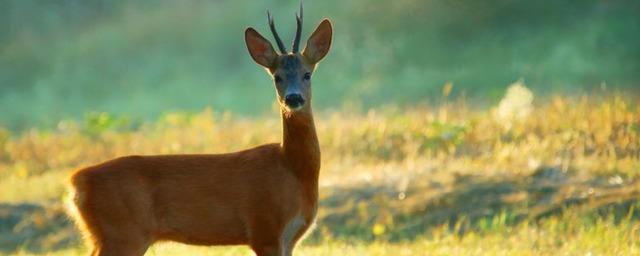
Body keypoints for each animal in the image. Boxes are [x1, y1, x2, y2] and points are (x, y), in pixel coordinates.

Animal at [67, 2, 332, 256]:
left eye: (307, 74)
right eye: (277, 77)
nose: (293, 98)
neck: (293, 169)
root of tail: (77, 181)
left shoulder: (287, 239)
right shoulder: (264, 229)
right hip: (123, 233)